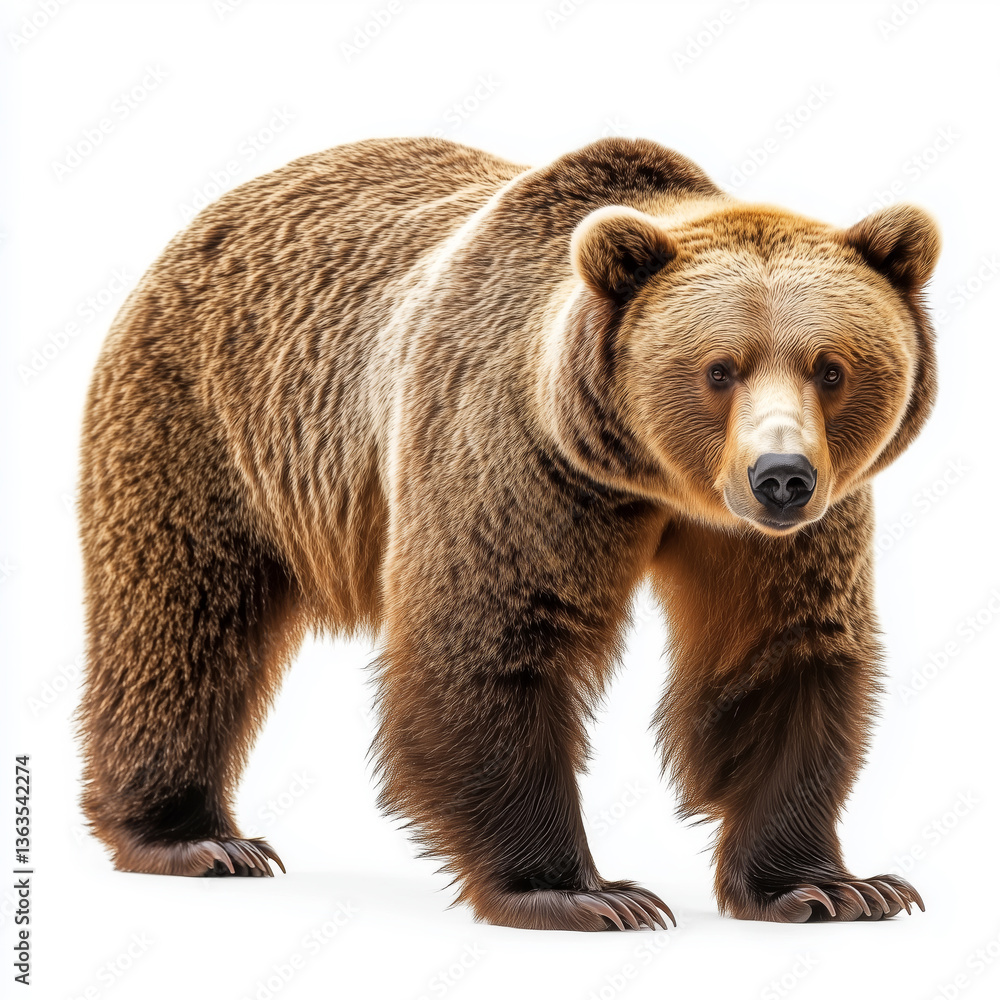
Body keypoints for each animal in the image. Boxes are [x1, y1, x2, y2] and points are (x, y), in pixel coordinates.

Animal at [77, 136, 939, 930]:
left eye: (831, 368)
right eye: (719, 369)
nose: (781, 476)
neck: (653, 480)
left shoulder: (783, 533)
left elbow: (781, 652)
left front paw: (832, 886)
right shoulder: (517, 455)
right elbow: (490, 638)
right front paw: (583, 892)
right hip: (207, 423)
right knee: (181, 618)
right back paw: (195, 838)